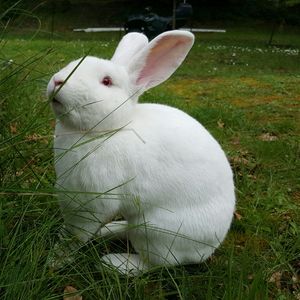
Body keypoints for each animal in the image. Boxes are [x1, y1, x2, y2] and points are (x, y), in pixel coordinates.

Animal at [47, 29, 234, 274]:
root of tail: (210, 246)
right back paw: (109, 230)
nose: (58, 81)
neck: (109, 130)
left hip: (153, 232)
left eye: (106, 81)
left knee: (155, 263)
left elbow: (75, 235)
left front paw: (56, 259)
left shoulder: (89, 203)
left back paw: (116, 263)